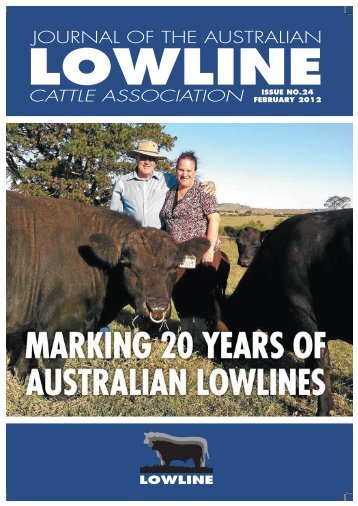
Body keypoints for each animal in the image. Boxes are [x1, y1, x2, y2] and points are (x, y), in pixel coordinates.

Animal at [6, 191, 210, 388]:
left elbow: (26, 349)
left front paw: (21, 377)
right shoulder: (60, 321)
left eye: (175, 267)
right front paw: (61, 392)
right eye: (129, 265)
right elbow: (54, 360)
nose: (157, 309)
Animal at [218, 210, 352, 416]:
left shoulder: (302, 311)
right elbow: (310, 360)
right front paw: (305, 392)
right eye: (238, 243)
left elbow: (319, 359)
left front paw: (323, 410)